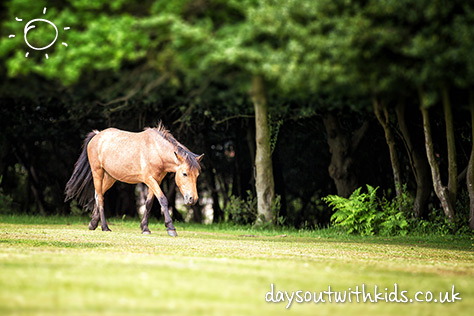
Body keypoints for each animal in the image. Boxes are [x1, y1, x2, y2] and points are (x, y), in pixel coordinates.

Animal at [65, 123, 202, 237]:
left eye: (197, 175)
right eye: (184, 174)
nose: (193, 199)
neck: (156, 151)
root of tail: (97, 135)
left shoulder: (156, 181)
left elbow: (149, 203)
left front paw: (145, 228)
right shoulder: (149, 179)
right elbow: (163, 199)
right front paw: (171, 228)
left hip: (110, 177)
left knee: (98, 195)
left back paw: (93, 223)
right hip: (97, 173)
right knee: (100, 197)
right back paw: (104, 227)